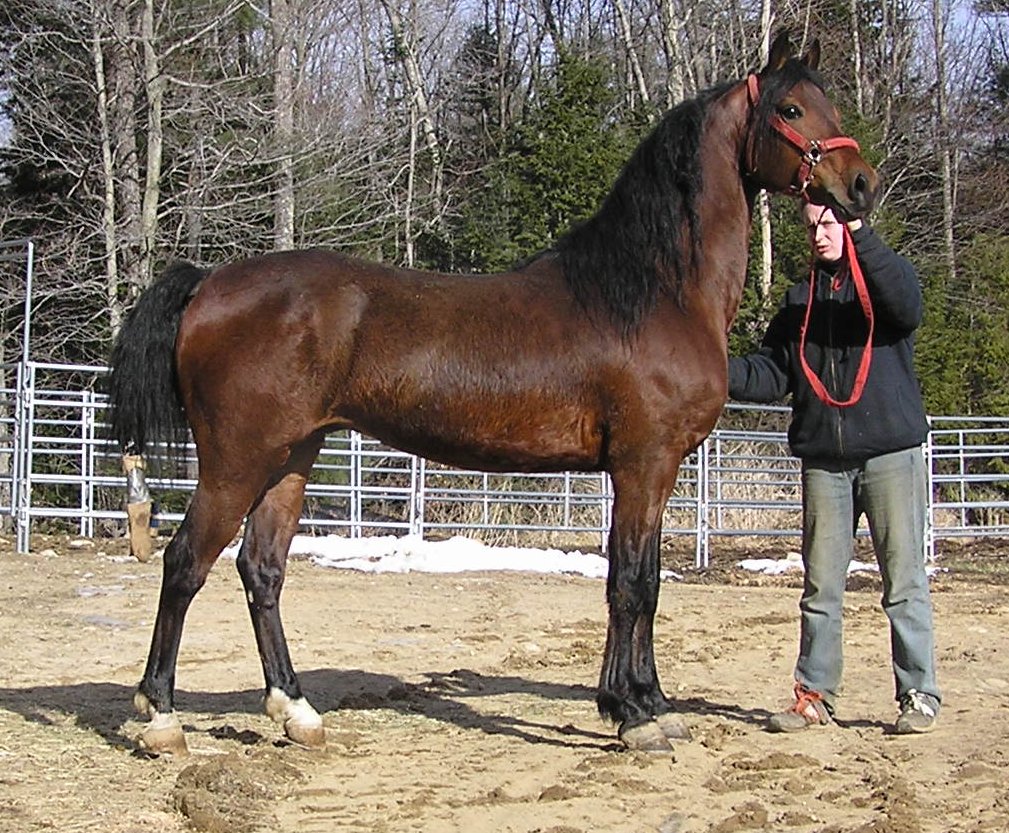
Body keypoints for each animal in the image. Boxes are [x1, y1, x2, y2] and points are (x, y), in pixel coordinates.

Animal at [107, 31, 878, 755]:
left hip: (291, 457)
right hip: (237, 461)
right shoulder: (643, 464)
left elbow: (645, 581)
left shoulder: (648, 474)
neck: (650, 291)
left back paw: (296, 711)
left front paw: (646, 702)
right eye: (789, 109)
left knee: (260, 571)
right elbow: (632, 582)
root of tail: (208, 282)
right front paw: (633, 716)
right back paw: (161, 716)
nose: (862, 184)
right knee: (184, 564)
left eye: (831, 106)